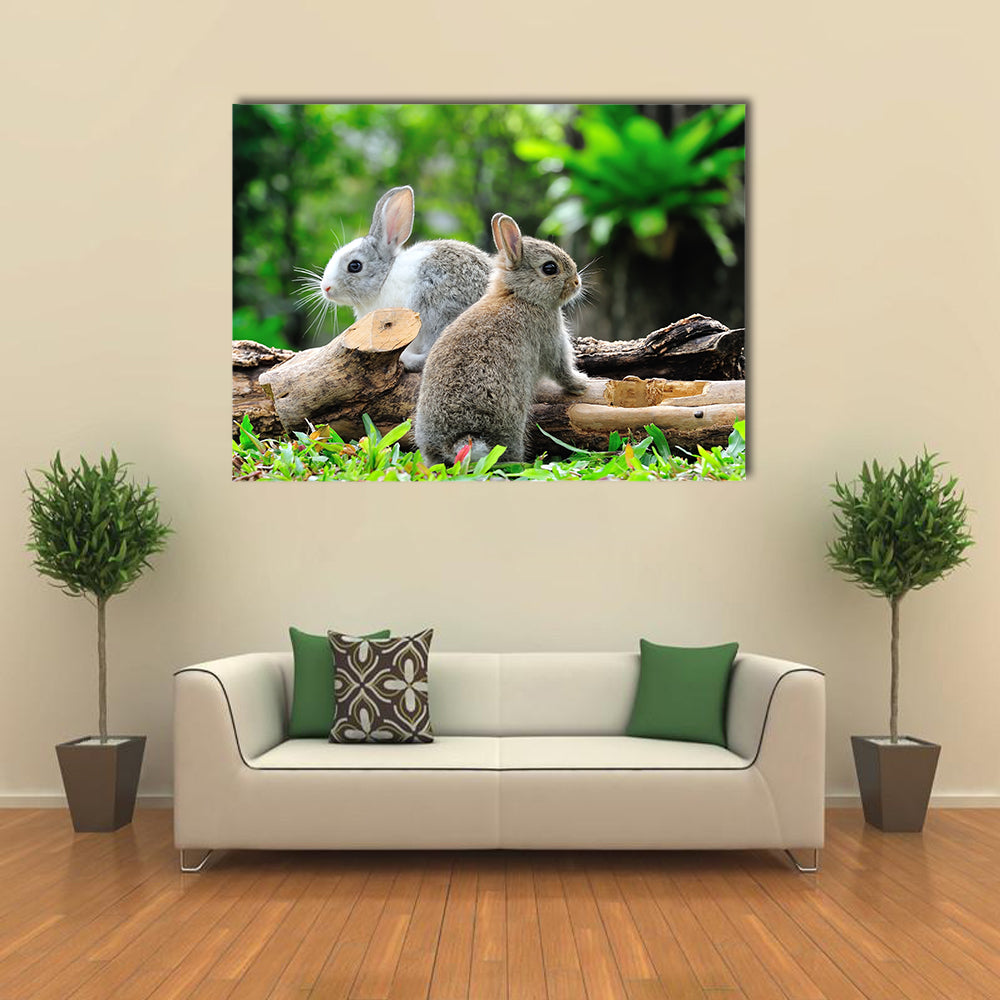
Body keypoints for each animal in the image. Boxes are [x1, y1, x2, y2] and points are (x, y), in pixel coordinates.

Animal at [415, 213, 589, 466]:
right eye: (550, 268)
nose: (577, 282)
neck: (520, 296)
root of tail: (456, 441)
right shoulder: (551, 339)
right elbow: (561, 369)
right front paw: (581, 384)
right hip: (510, 425)